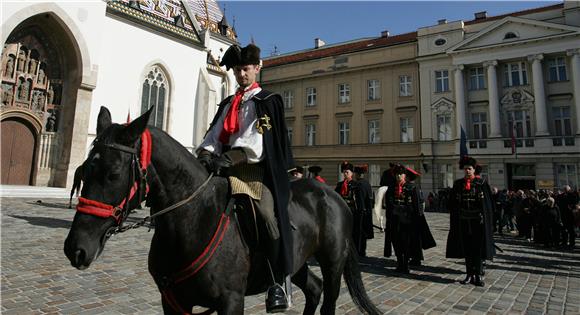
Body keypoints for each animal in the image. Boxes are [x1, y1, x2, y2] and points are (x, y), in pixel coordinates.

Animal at [64, 107, 380, 314]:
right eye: (85, 169)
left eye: (114, 174)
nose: (75, 248)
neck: (193, 220)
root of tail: (334, 196)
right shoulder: (174, 301)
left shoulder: (231, 301)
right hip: (296, 261)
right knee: (313, 289)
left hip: (332, 262)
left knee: (328, 300)